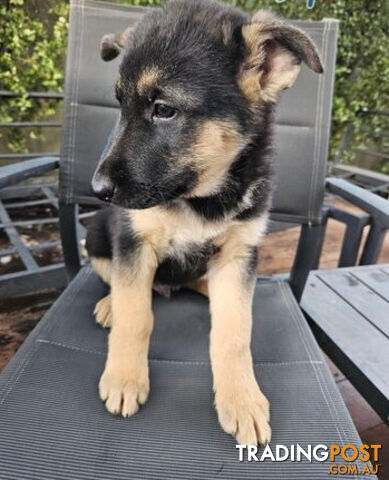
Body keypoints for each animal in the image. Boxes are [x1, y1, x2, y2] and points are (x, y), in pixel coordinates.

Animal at [87, 0, 322, 444]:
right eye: (120, 106)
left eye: (163, 109)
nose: (97, 189)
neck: (201, 201)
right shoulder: (133, 241)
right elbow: (135, 316)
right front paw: (125, 378)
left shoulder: (240, 253)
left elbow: (233, 334)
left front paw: (242, 399)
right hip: (96, 234)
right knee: (114, 281)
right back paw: (110, 304)